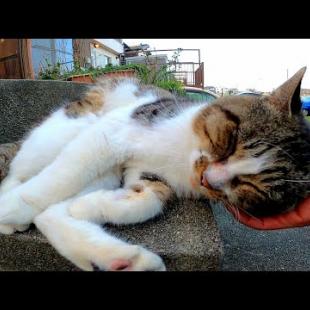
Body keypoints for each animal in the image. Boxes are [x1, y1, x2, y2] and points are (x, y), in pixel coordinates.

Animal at [0, 67, 310, 268]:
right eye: (231, 140)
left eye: (251, 187)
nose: (208, 178)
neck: (183, 156)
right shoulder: (112, 132)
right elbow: (54, 180)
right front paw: (12, 207)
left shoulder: (149, 175)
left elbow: (146, 201)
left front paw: (91, 205)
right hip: (73, 126)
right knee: (22, 171)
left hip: (105, 170)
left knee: (49, 214)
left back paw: (124, 260)